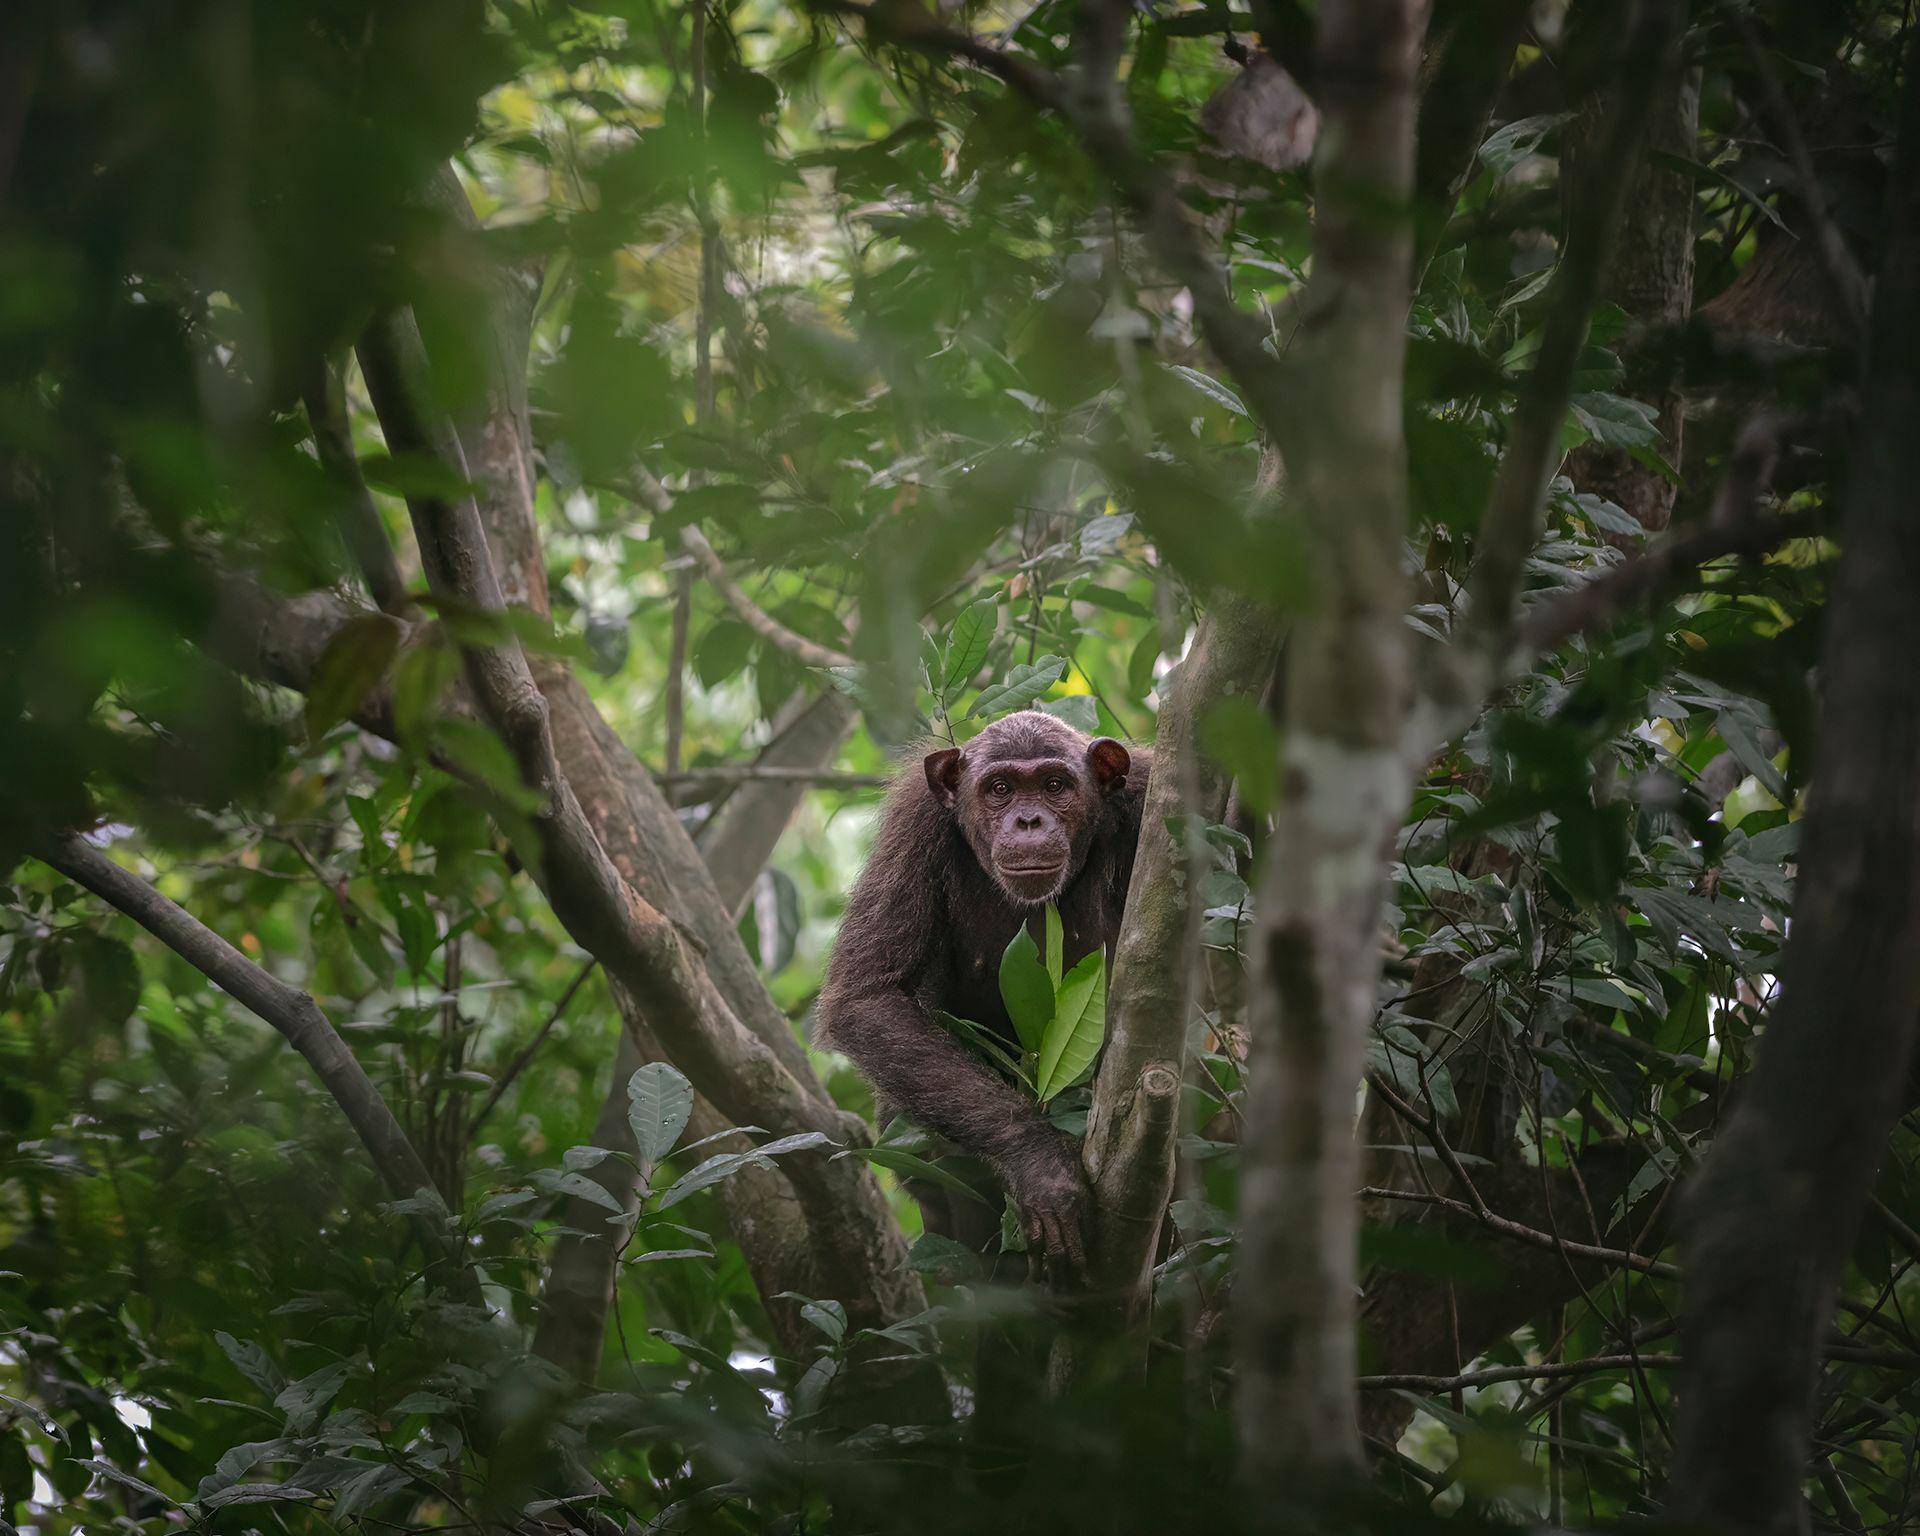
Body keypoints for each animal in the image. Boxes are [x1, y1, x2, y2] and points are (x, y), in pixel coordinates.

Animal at [817, 714, 1144, 1274]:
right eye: (1000, 789)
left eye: (1054, 785)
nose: (1029, 821)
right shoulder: (915, 824)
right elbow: (868, 996)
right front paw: (1041, 1165)